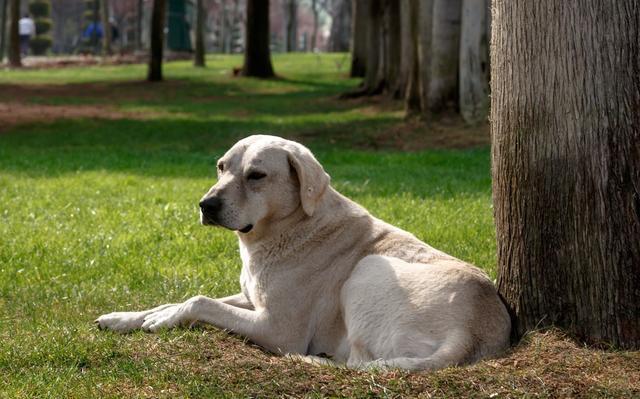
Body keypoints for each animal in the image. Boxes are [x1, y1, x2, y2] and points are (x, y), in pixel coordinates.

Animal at [97, 135, 512, 372]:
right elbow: (178, 300)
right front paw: (127, 318)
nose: (206, 205)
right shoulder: (251, 298)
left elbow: (199, 301)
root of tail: (469, 331)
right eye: (220, 167)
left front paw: (164, 318)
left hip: (369, 269)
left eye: (256, 176)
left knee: (358, 362)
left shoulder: (276, 327)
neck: (289, 229)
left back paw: (314, 360)